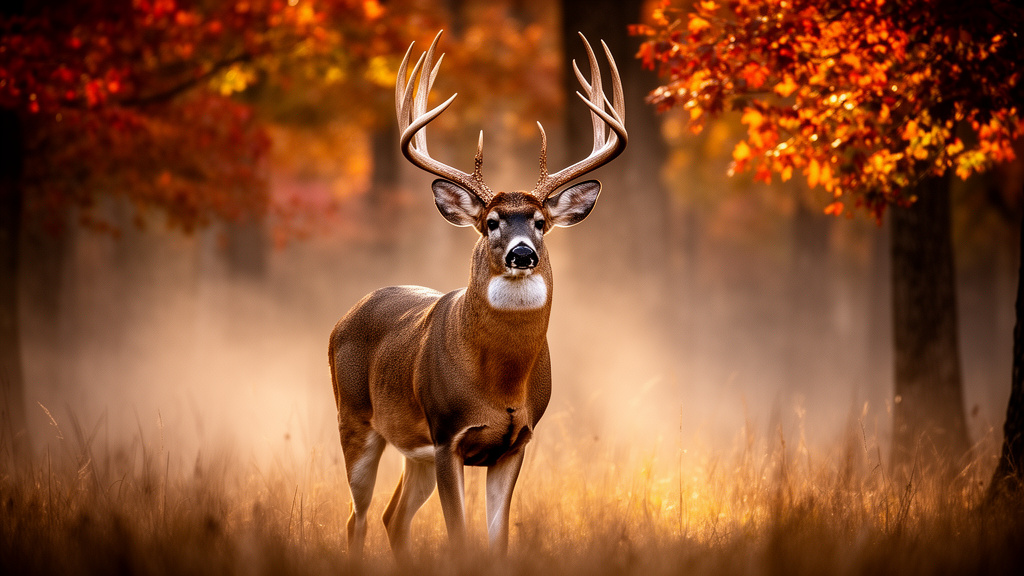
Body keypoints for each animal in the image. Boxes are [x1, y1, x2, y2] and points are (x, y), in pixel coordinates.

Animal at [329, 30, 626, 558]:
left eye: (540, 222)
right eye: (491, 222)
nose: (522, 253)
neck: (499, 383)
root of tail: (346, 315)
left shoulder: (515, 442)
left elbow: (497, 540)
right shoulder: (448, 435)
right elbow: (460, 539)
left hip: (414, 453)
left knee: (392, 517)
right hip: (355, 420)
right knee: (357, 519)